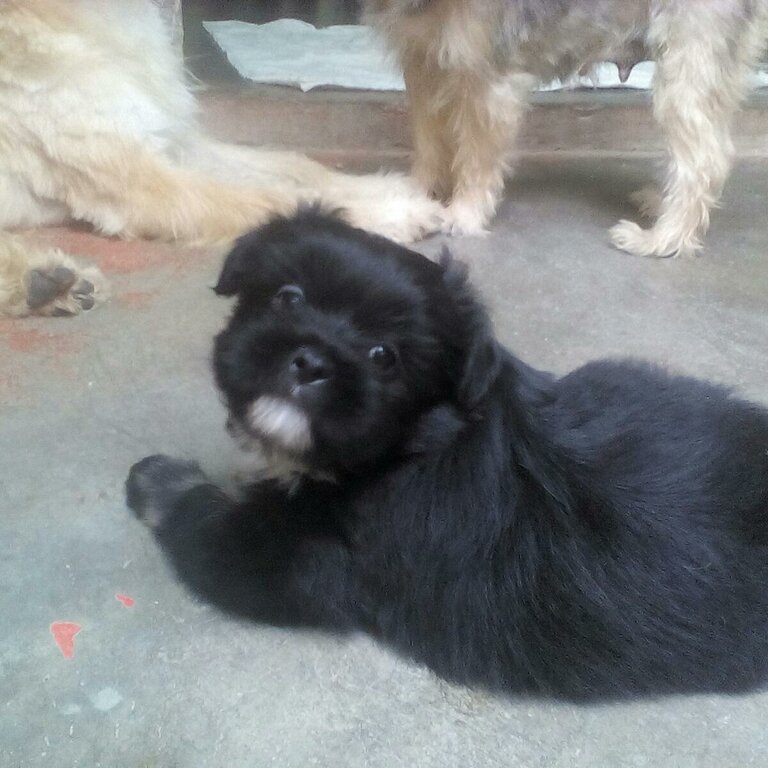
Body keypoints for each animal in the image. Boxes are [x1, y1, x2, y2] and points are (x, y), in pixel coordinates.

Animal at [0, 0, 444, 316]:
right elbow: (278, 198)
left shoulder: (175, 143)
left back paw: (47, 283)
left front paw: (383, 187)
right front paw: (392, 214)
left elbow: (299, 166)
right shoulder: (147, 187)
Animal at [126, 210, 768, 704]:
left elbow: (205, 524)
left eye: (385, 357)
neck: (415, 440)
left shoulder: (298, 557)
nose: (311, 361)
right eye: (288, 297)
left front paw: (160, 481)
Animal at [366, 0, 768, 258]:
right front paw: (410, 193)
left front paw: (464, 214)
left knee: (705, 159)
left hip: (687, 63)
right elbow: (429, 140)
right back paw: (663, 207)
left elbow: (476, 159)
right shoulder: (422, 62)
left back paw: (662, 239)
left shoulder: (488, 82)